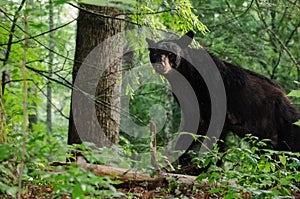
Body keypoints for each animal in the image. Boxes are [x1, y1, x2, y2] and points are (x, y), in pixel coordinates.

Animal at [146, 30, 300, 159]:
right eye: (155, 54)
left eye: (171, 54)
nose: (160, 65)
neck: (186, 78)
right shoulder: (192, 109)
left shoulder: (218, 111)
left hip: (286, 128)